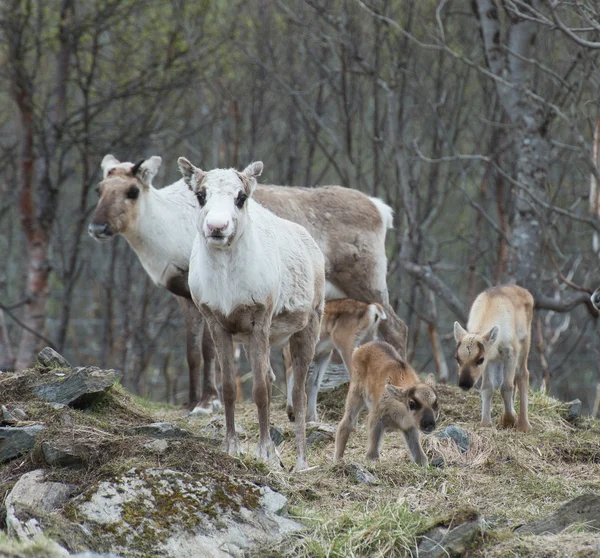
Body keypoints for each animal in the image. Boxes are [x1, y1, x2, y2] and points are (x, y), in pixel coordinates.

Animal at [454, 286, 536, 430]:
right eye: (457, 358)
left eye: (480, 359)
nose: (464, 383)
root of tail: (525, 291)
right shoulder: (490, 360)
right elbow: (487, 387)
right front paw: (485, 422)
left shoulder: (510, 352)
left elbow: (506, 387)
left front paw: (509, 420)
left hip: (525, 343)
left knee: (522, 374)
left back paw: (524, 425)